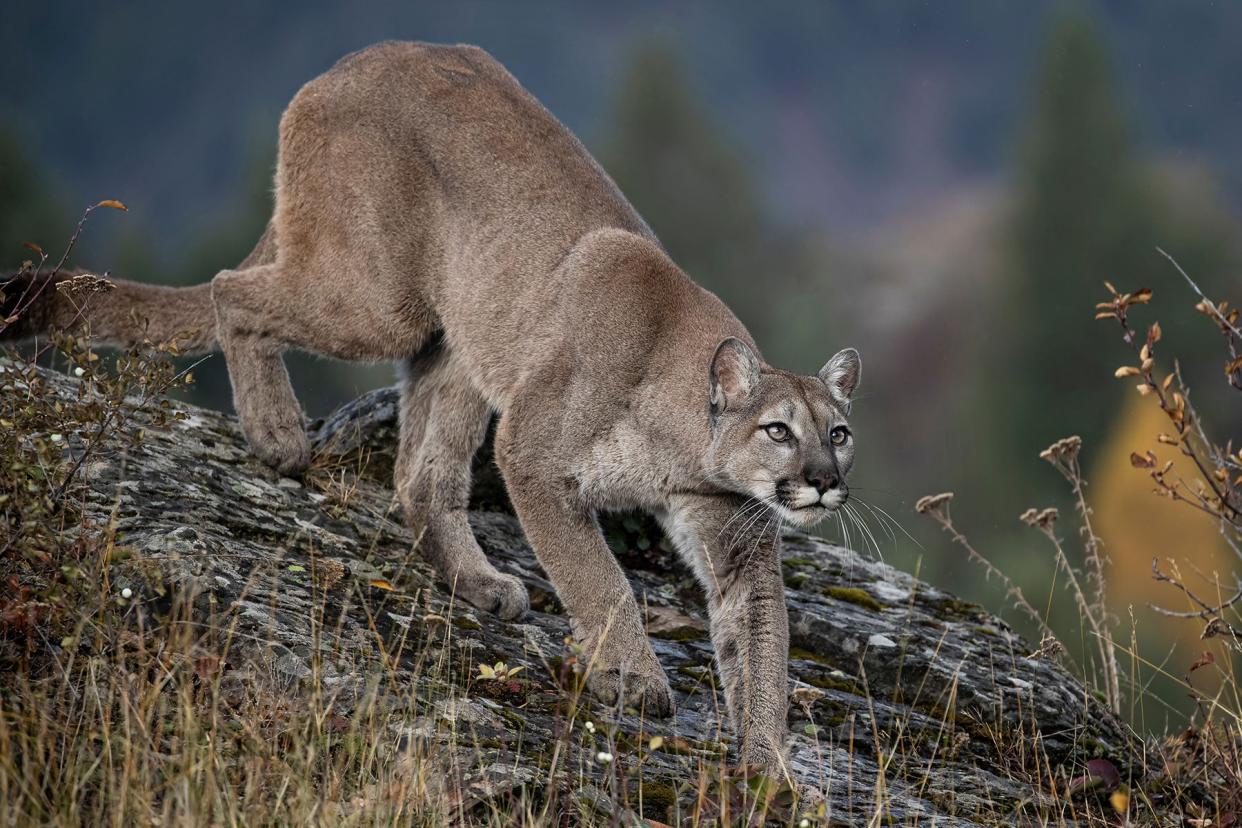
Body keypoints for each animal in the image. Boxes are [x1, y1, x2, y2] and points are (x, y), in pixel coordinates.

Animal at [0, 42, 859, 774]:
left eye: (840, 434)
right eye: (779, 431)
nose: (823, 481)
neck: (681, 443)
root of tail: (346, 63)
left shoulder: (736, 541)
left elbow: (762, 652)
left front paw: (774, 774)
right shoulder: (534, 453)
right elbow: (599, 578)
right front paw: (634, 677)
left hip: (460, 347)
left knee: (422, 474)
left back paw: (477, 582)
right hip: (380, 301)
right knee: (230, 290)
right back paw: (277, 434)